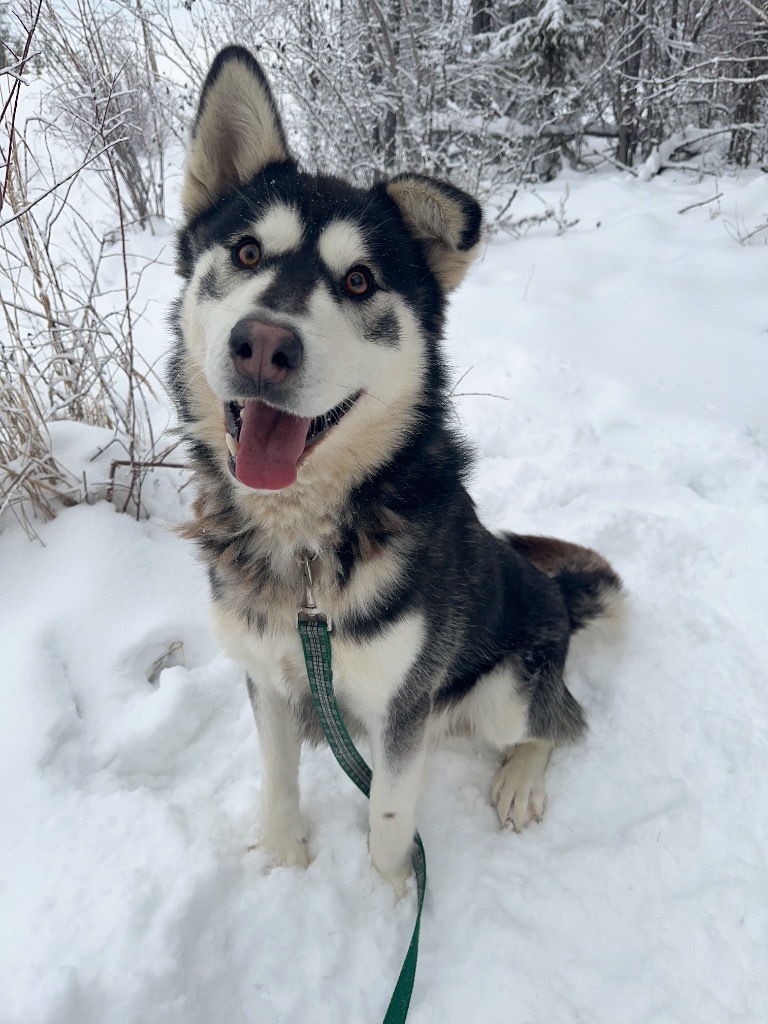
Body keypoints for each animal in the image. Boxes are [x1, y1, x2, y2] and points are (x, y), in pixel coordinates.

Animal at [167, 46, 626, 888]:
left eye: (358, 281)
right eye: (247, 252)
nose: (263, 345)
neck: (307, 551)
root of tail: (557, 596)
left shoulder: (402, 706)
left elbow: (387, 816)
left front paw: (388, 898)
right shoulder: (266, 677)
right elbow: (277, 780)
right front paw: (283, 859)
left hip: (507, 685)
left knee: (560, 723)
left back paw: (520, 779)